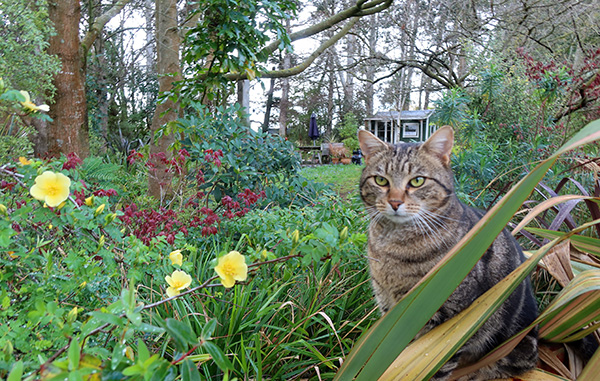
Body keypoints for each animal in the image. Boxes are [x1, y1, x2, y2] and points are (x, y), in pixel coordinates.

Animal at [358, 126, 536, 378]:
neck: (392, 246)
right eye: (381, 180)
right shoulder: (386, 306)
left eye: (417, 181)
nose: (394, 202)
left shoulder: (445, 326)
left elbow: (433, 368)